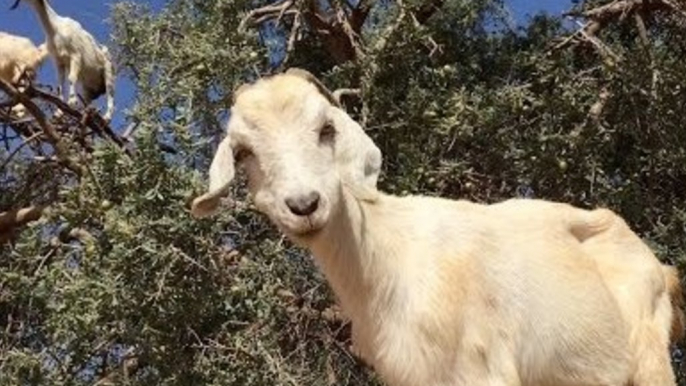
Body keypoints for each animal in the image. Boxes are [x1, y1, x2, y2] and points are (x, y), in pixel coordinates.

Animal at [192, 70, 684, 386]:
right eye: (243, 152)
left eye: (326, 129)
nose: (304, 204)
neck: (389, 259)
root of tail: (662, 269)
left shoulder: (480, 370)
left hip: (650, 356)